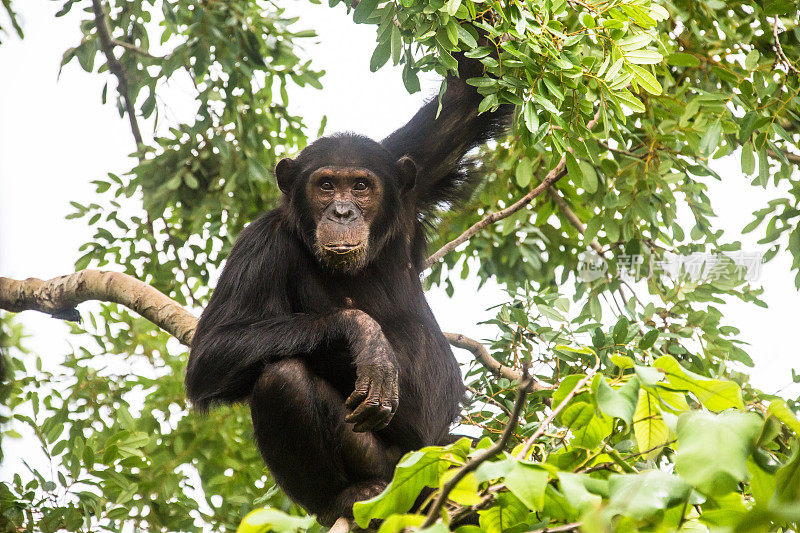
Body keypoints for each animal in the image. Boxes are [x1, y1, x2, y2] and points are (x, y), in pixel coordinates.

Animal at [185, 57, 512, 524]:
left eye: (360, 185)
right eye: (325, 186)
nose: (342, 211)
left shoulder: (410, 178)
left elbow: (465, 103)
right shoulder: (259, 244)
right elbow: (212, 351)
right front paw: (366, 336)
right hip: (388, 468)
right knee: (281, 379)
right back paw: (347, 497)